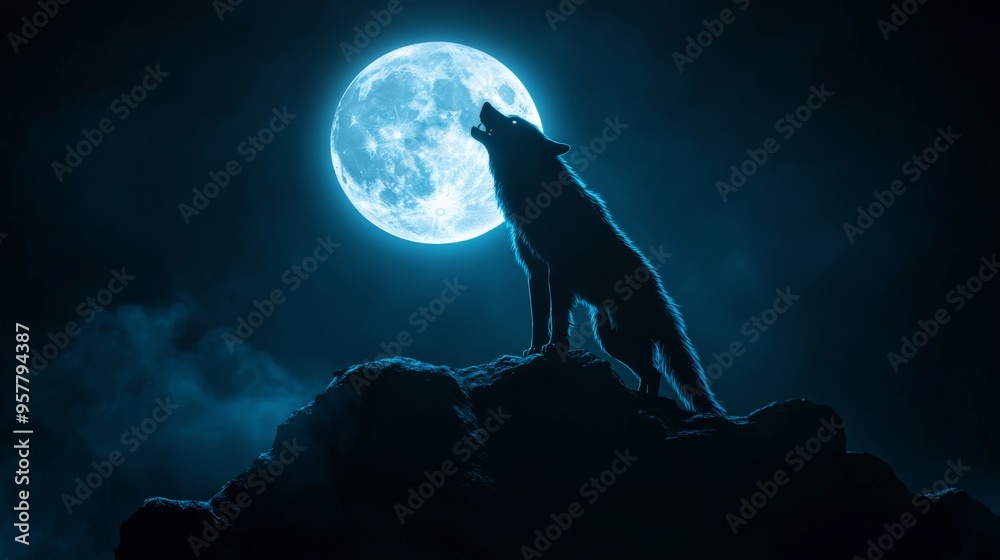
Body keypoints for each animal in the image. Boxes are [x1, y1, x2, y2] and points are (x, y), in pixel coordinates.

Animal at [471, 102, 724, 415]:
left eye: (515, 121)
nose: (485, 104)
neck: (536, 193)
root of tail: (664, 305)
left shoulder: (557, 272)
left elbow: (557, 318)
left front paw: (553, 349)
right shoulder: (536, 273)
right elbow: (539, 318)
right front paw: (534, 350)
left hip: (616, 338)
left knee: (653, 372)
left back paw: (646, 403)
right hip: (611, 339)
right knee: (650, 371)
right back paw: (640, 398)